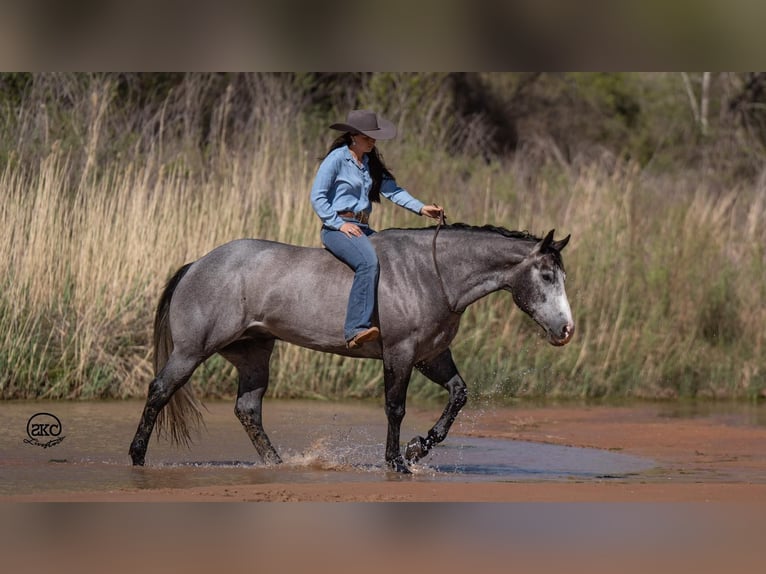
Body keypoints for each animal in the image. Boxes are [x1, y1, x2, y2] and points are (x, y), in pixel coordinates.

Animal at [130, 224, 576, 472]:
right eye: (547, 275)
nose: (566, 330)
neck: (433, 274)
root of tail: (197, 264)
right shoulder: (400, 353)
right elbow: (395, 408)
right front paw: (397, 461)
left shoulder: (431, 356)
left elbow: (459, 395)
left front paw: (417, 449)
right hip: (192, 351)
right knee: (160, 391)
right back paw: (137, 457)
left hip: (254, 354)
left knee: (248, 410)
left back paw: (278, 464)